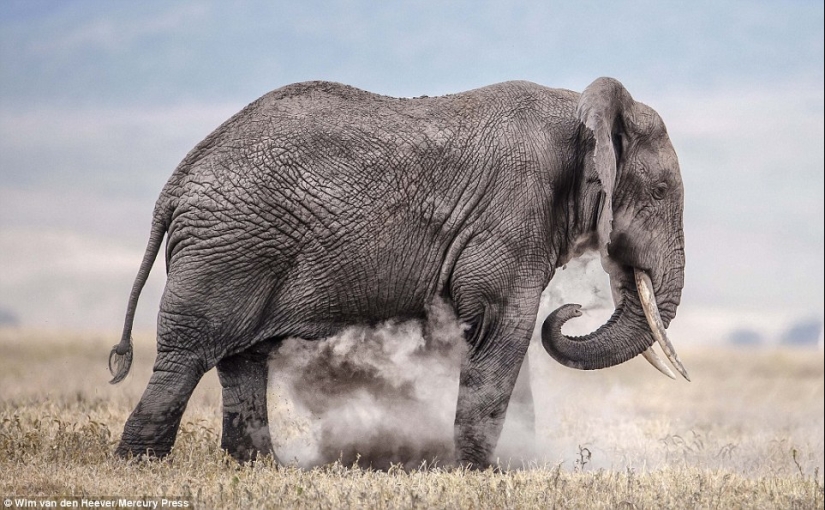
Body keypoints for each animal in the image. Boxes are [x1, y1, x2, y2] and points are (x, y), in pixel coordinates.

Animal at [109, 74, 688, 466]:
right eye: (661, 192)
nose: (572, 309)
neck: (579, 108)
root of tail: (177, 181)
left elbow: (499, 340)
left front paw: (509, 466)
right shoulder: (515, 211)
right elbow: (505, 327)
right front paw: (481, 472)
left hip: (239, 250)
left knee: (240, 360)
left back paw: (258, 467)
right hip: (227, 251)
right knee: (187, 355)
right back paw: (141, 463)